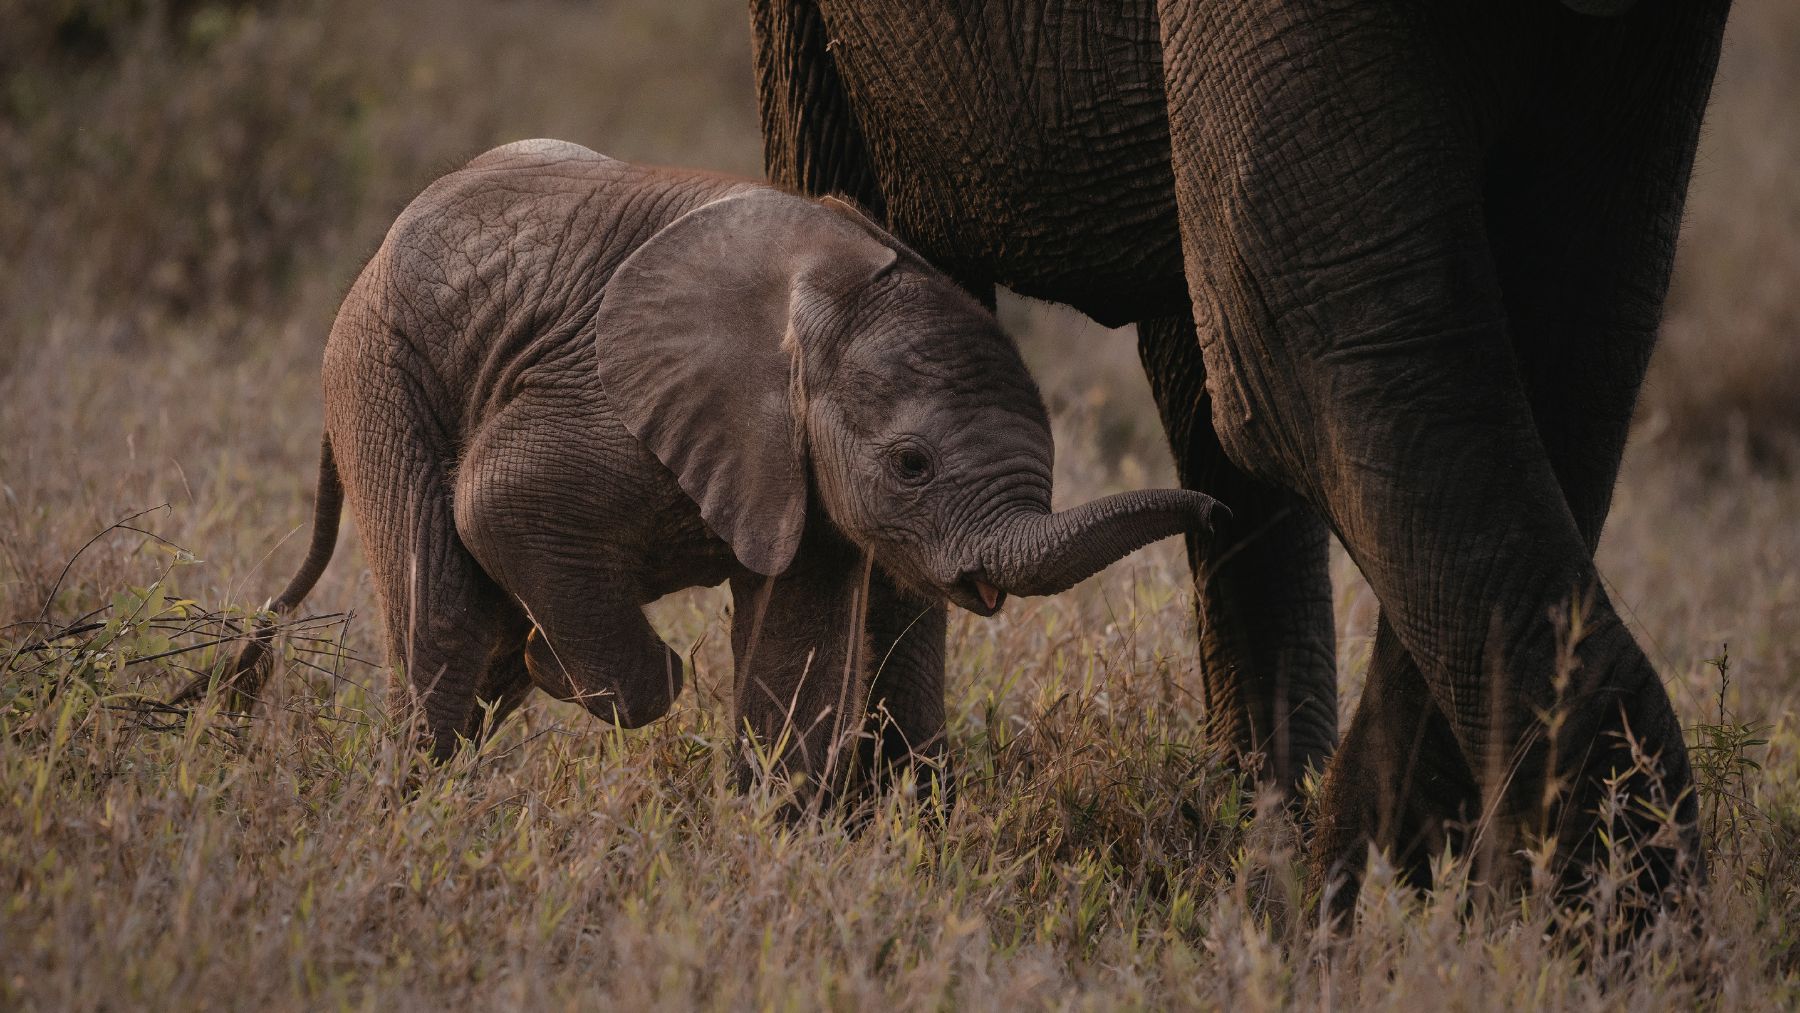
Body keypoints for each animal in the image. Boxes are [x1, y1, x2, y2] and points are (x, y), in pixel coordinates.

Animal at [181, 138, 1223, 794]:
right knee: (445, 610)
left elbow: (797, 649)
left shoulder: (802, 476)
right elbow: (502, 500)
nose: (1218, 508)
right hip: (382, 372)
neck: (835, 293)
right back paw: (418, 806)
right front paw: (556, 665)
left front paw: (771, 834)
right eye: (913, 465)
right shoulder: (609, 395)